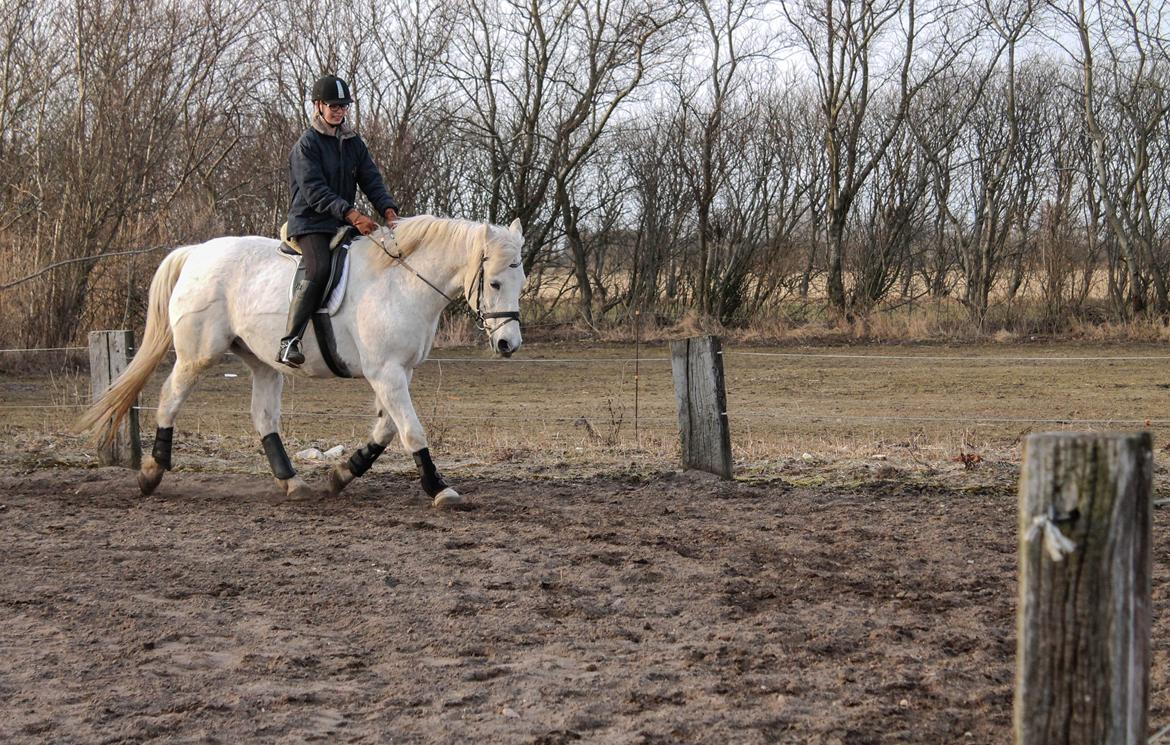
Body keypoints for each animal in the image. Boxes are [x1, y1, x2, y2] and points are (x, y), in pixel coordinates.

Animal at [75, 215, 524, 505]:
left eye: (520, 281)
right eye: (494, 283)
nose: (508, 344)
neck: (401, 281)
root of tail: (196, 253)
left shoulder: (397, 372)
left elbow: (385, 431)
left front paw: (341, 475)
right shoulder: (386, 372)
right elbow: (411, 431)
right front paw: (439, 489)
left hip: (261, 361)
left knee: (263, 416)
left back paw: (293, 483)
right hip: (197, 354)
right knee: (170, 397)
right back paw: (152, 472)